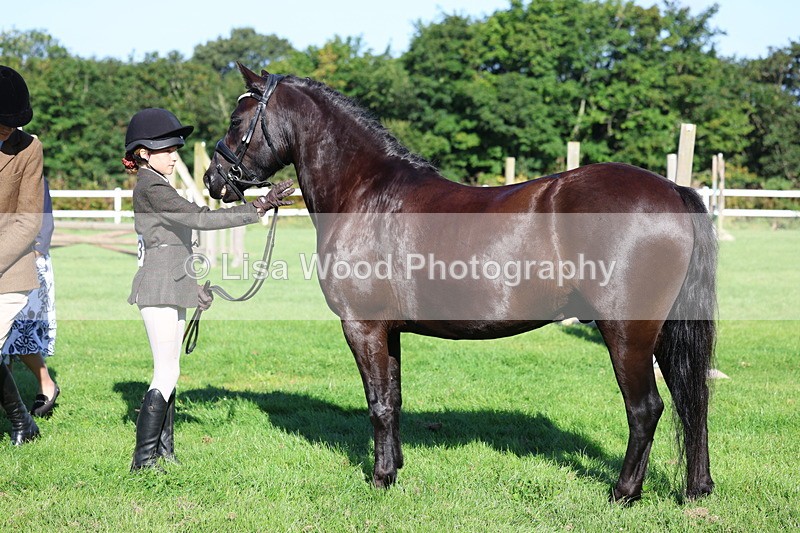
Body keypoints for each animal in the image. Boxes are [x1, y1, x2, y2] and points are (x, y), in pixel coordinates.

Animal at [204, 64, 717, 503]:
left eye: (236, 119)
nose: (213, 180)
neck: (365, 195)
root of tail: (673, 191)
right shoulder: (389, 331)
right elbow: (394, 397)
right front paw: (395, 468)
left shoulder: (363, 326)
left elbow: (378, 403)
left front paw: (380, 479)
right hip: (662, 333)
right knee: (693, 401)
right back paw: (697, 489)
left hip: (627, 332)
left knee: (646, 408)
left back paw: (624, 492)